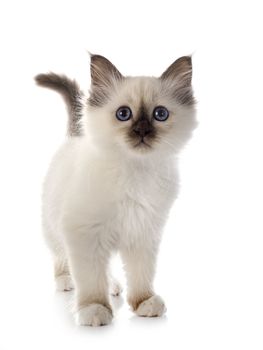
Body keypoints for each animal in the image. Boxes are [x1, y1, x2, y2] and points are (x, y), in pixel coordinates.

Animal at [36, 53, 198, 326]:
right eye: (124, 114)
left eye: (160, 114)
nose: (142, 131)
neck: (135, 173)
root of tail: (74, 138)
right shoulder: (84, 234)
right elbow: (90, 279)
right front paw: (94, 309)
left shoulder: (144, 233)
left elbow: (141, 274)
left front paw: (144, 302)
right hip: (55, 227)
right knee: (61, 257)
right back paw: (67, 281)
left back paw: (112, 286)